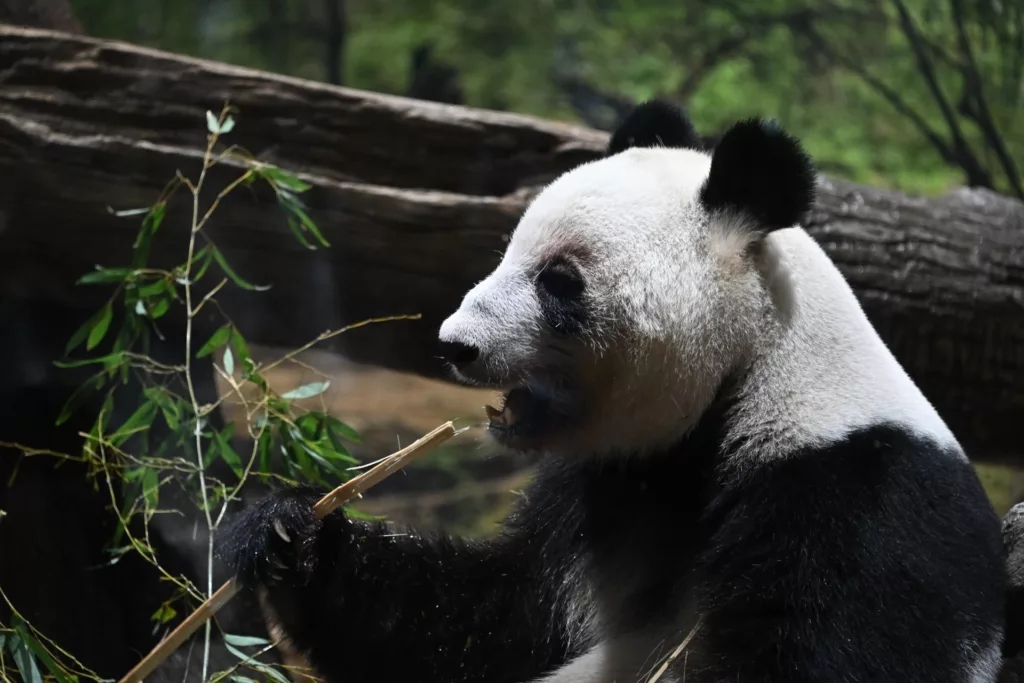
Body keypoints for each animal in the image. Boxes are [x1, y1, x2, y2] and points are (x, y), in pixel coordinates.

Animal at [220, 100, 1006, 683]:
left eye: (558, 281)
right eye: (506, 252)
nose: (454, 344)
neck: (745, 376)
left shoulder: (850, 493)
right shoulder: (603, 492)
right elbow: (495, 620)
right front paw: (291, 533)